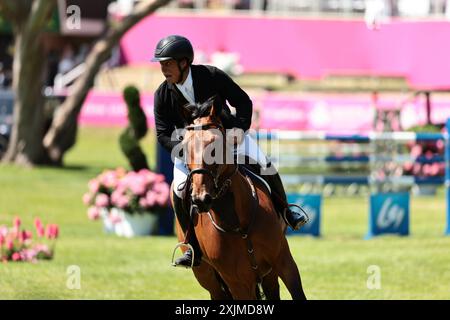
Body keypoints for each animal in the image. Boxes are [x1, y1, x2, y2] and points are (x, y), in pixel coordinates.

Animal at [171, 95, 308, 300]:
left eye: (215, 146)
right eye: (184, 148)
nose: (201, 199)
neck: (238, 223)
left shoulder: (284, 262)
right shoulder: (238, 282)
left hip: (268, 274)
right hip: (208, 277)